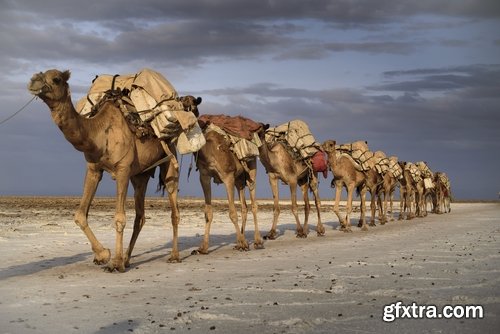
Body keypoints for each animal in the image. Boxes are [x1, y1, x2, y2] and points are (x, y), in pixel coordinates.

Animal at [26, 70, 186, 272]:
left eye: (56, 79)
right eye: (39, 74)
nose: (33, 81)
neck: (99, 133)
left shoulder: (123, 169)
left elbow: (119, 218)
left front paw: (114, 263)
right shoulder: (93, 169)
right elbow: (80, 215)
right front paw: (103, 255)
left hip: (169, 158)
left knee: (174, 207)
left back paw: (173, 256)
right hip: (140, 175)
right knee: (140, 216)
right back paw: (127, 258)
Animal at [191, 116, 266, 254]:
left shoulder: (228, 177)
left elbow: (232, 213)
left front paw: (244, 244)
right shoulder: (204, 176)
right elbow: (208, 213)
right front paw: (202, 248)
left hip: (251, 167)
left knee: (253, 202)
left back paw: (257, 241)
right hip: (239, 179)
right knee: (244, 207)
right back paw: (240, 242)